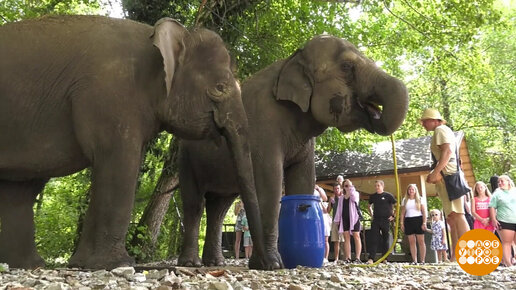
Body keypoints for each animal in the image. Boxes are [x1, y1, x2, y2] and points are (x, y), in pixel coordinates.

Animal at [0, 15, 272, 270]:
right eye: (220, 88)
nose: (266, 265)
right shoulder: (111, 93)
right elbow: (120, 164)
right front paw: (116, 264)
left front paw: (82, 264)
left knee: (21, 188)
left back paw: (29, 265)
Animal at [177, 35, 408, 268]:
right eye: (346, 67)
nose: (376, 115)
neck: (293, 58)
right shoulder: (262, 128)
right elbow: (270, 182)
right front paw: (271, 265)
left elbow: (302, 180)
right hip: (186, 157)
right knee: (195, 204)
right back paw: (191, 263)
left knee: (219, 208)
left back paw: (216, 263)